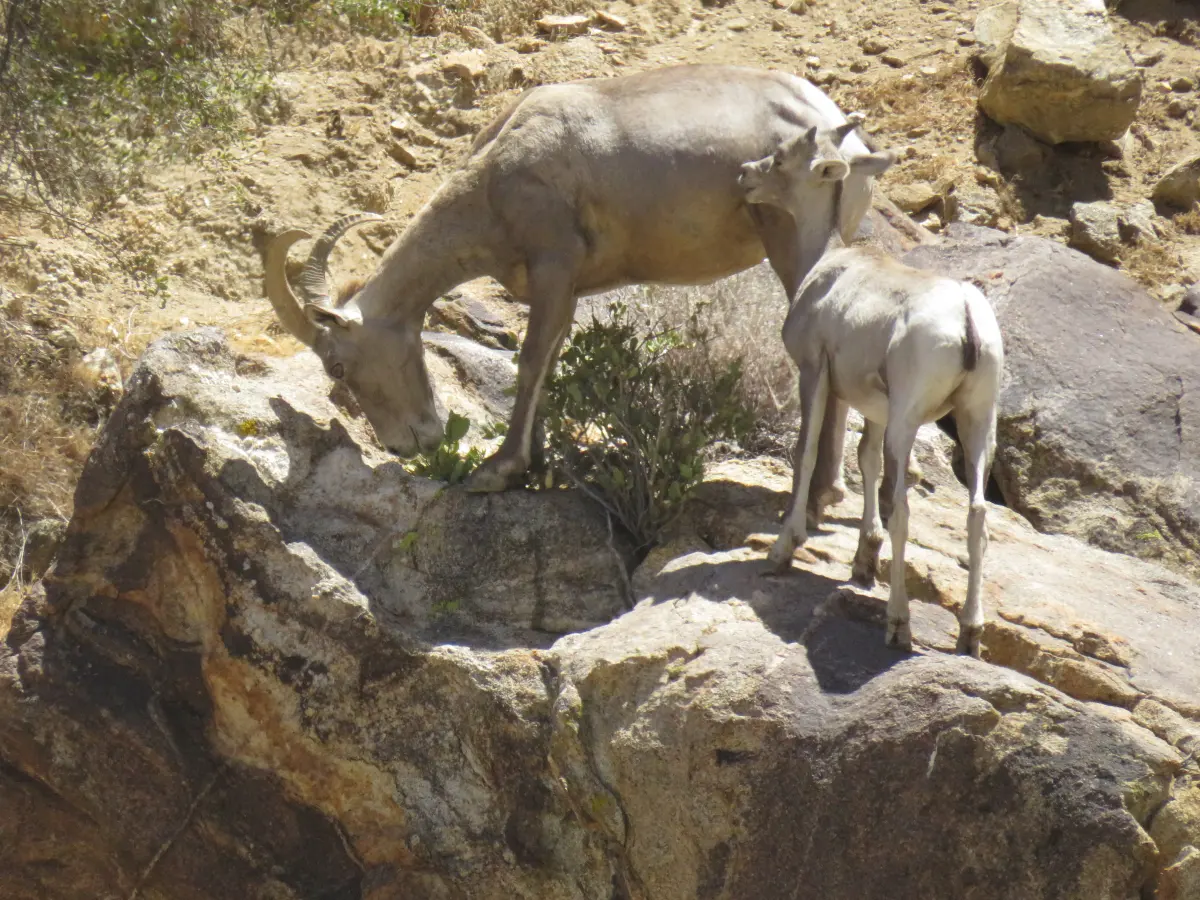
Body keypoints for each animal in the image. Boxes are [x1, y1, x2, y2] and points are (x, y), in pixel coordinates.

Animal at [739, 126, 1005, 656]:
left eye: (780, 158)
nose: (744, 175)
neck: (825, 263)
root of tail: (966, 319)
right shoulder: (872, 407)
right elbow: (865, 461)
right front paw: (863, 563)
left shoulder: (815, 373)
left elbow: (806, 454)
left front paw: (782, 550)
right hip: (977, 423)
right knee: (978, 514)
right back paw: (970, 634)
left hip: (908, 422)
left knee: (902, 506)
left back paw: (898, 624)